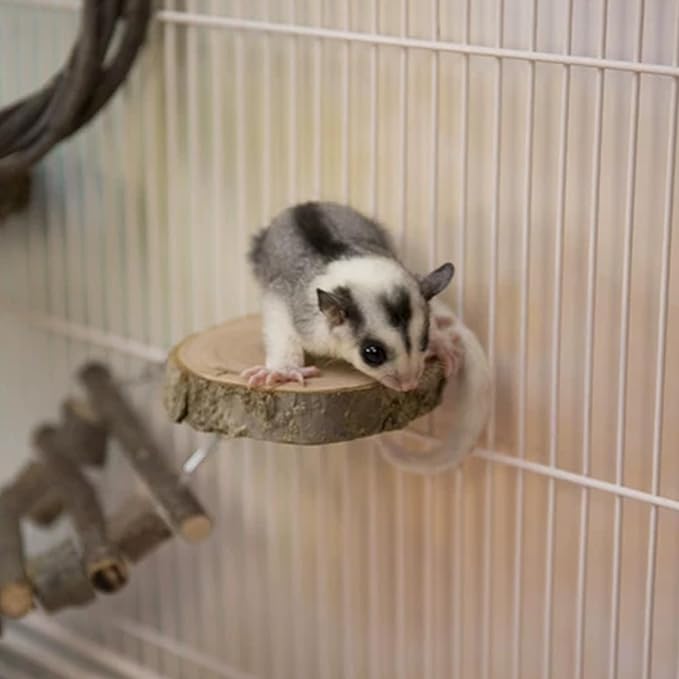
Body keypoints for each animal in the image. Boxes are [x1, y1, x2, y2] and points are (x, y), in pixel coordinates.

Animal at [242, 201, 464, 391]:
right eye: (372, 354)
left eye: (424, 341)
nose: (409, 385)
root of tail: (305, 204)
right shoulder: (296, 309)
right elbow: (278, 319)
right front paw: (284, 371)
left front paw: (442, 344)